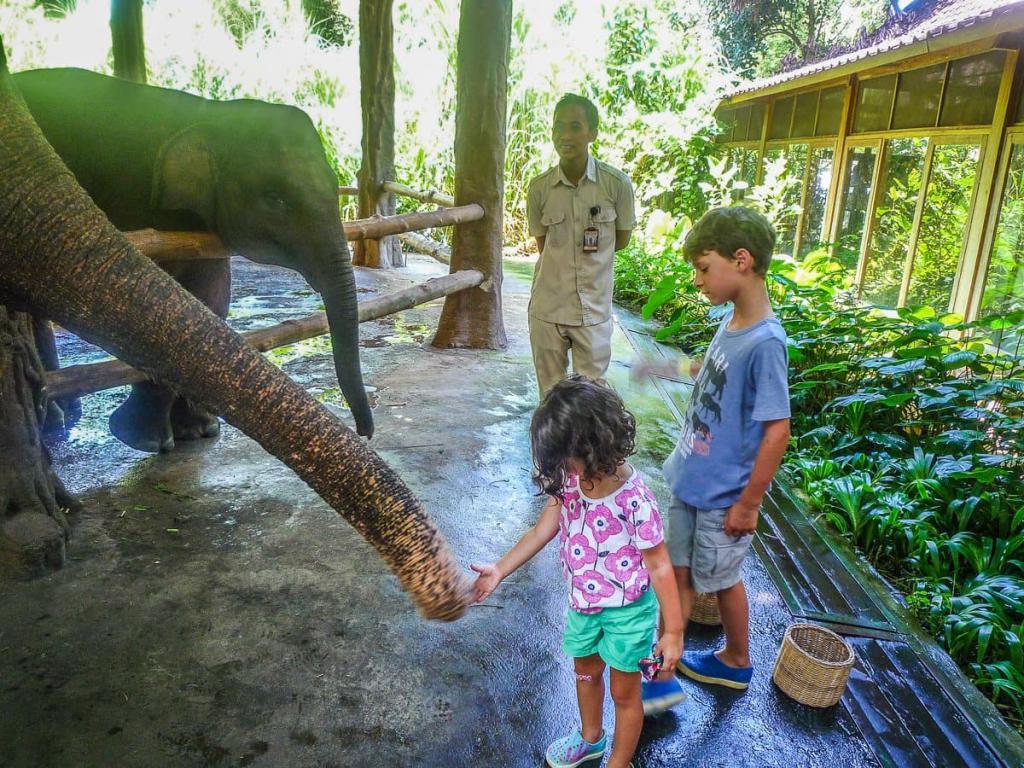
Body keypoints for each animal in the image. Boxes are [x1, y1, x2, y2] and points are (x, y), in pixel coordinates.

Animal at [11, 67, 372, 450]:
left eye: (334, 185)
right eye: (275, 198)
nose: (364, 432)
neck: (210, 115)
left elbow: (211, 297)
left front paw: (199, 431)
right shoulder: (136, 199)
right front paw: (145, 440)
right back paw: (55, 421)